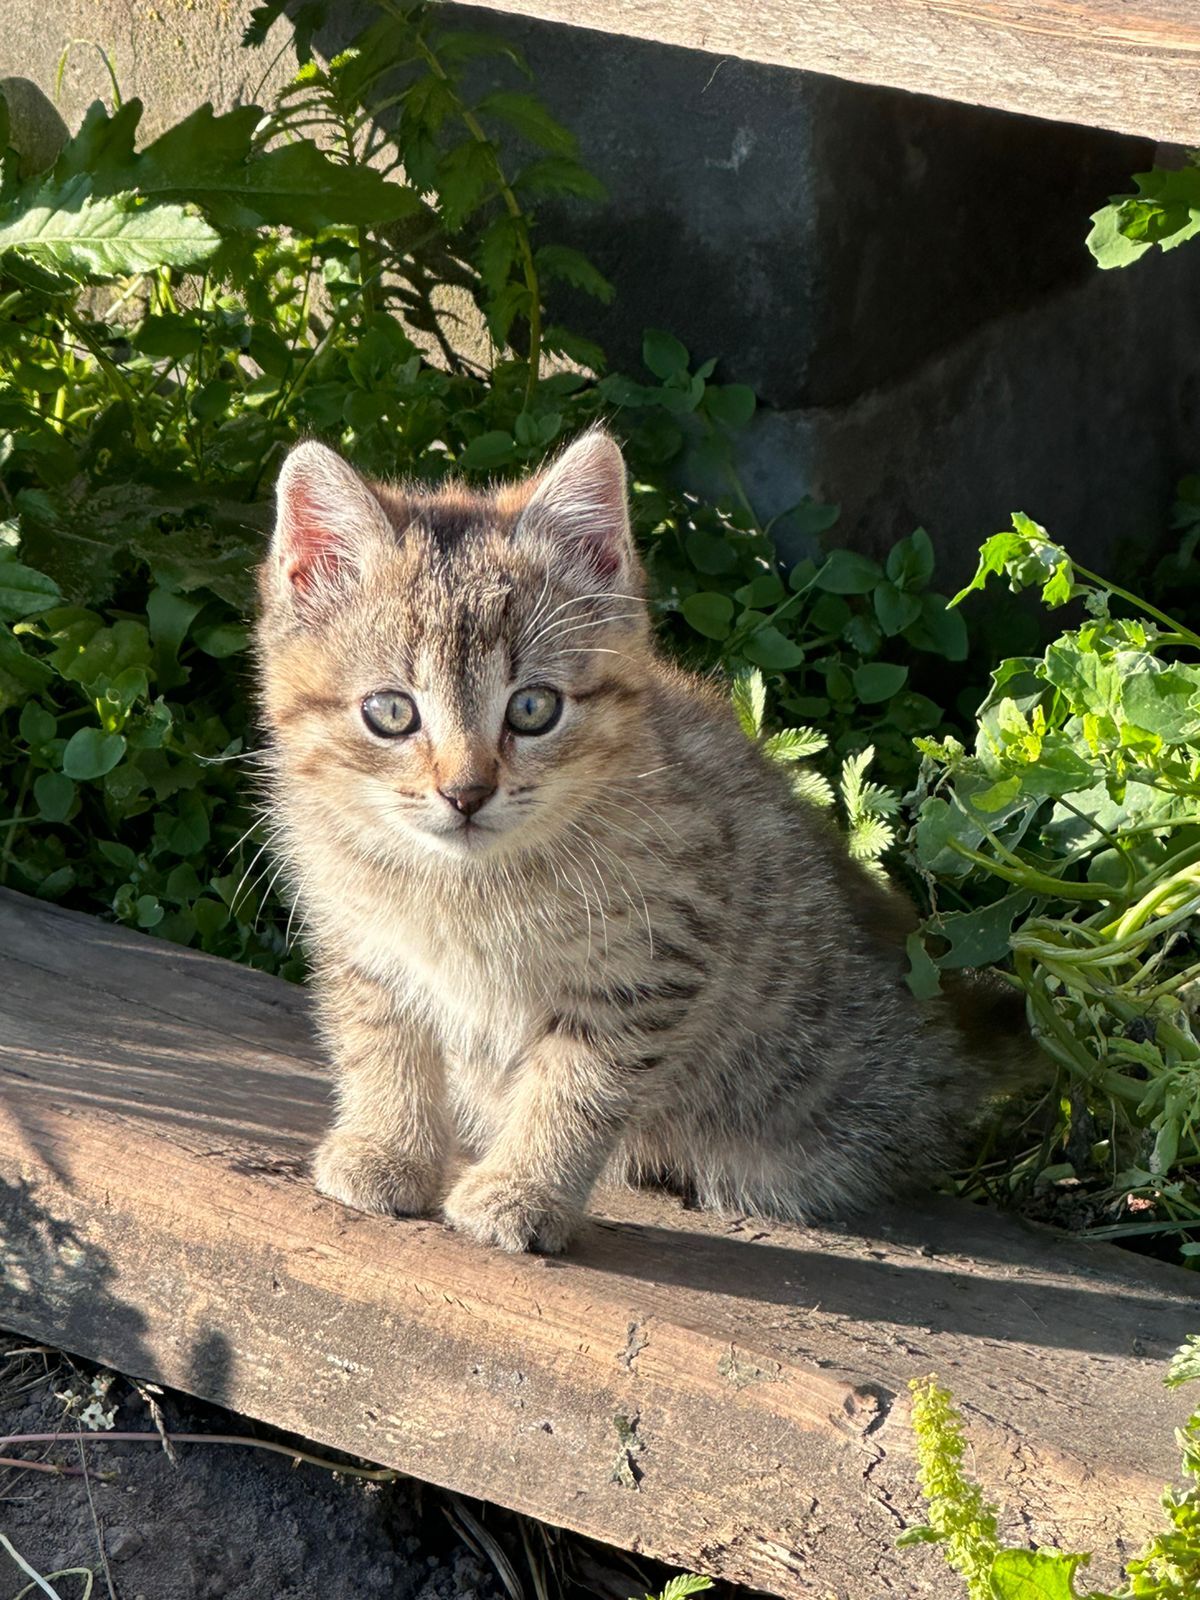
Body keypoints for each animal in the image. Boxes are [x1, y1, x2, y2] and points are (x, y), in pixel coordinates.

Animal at [260, 435, 1004, 1248]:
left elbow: (575, 1084)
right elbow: (384, 1044)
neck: (464, 883)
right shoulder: (364, 940)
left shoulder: (648, 960)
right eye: (390, 712)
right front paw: (387, 1148)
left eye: (533, 708)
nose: (467, 793)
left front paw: (524, 1190)